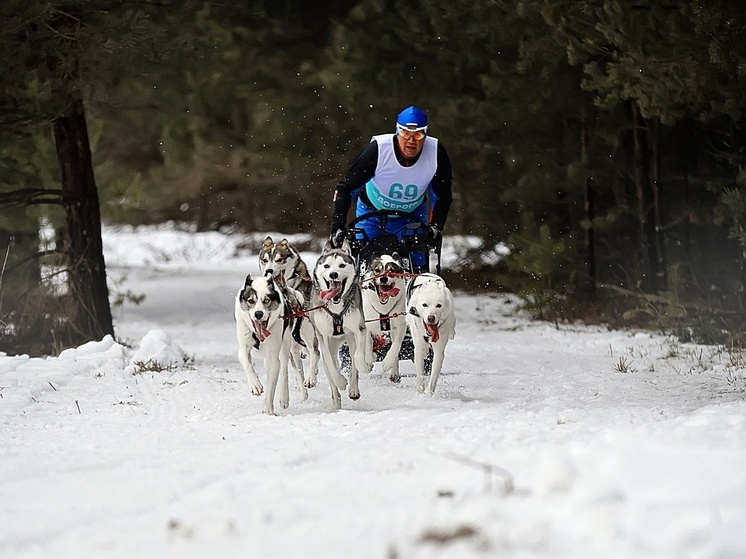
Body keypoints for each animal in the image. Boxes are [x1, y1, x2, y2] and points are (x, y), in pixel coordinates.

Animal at [232, 274, 306, 414]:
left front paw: (268, 411)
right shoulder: (243, 347)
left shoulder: (273, 357)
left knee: (283, 368)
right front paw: (255, 385)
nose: (258, 314)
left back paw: (284, 397)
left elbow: (271, 386)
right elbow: (246, 362)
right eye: (251, 301)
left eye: (266, 301)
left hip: (285, 343)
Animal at [310, 241, 370, 412]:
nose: (333, 274)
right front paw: (340, 381)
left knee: (354, 360)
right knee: (331, 373)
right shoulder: (323, 336)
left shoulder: (359, 329)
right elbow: (331, 365)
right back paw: (337, 402)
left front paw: (364, 367)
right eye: (327, 266)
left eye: (342, 265)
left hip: (350, 338)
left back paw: (354, 390)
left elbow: (358, 357)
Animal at [360, 254, 406, 384]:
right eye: (377, 270)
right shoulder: (366, 323)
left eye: (392, 270)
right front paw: (369, 359)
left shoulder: (400, 325)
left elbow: (396, 346)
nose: (384, 279)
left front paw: (387, 363)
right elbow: (367, 344)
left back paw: (394, 373)